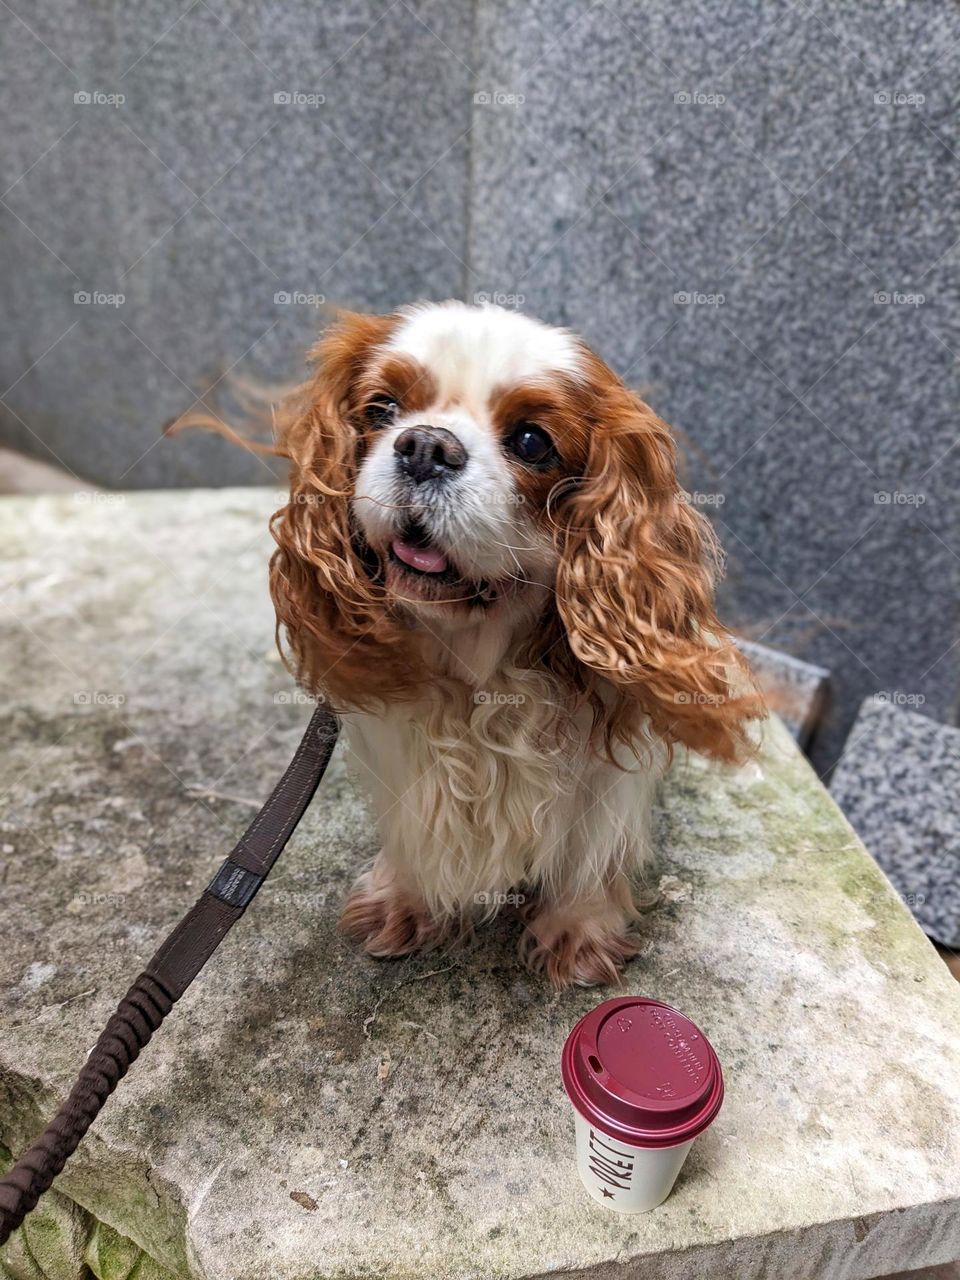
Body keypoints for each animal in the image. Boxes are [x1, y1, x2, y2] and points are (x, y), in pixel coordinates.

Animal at [259, 304, 762, 983]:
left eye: (531, 442)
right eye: (383, 409)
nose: (426, 446)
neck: (478, 669)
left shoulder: (601, 773)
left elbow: (590, 847)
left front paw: (578, 927)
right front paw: (406, 897)